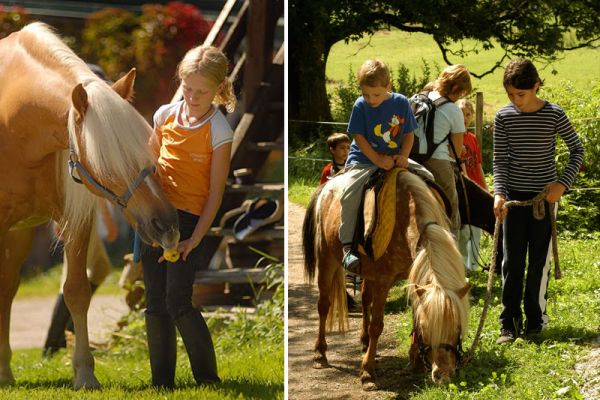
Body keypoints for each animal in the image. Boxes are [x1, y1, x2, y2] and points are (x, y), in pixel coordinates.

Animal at [0, 23, 179, 390]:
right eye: (107, 162)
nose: (166, 224)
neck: (13, 121)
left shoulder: (75, 221)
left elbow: (76, 291)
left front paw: (84, 372)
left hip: (19, 232)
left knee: (7, 290)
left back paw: (5, 370)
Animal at [302, 167, 472, 390]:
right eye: (427, 329)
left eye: (458, 327)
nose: (443, 375)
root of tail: (328, 185)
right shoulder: (383, 280)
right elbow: (377, 325)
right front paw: (368, 373)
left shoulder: (413, 278)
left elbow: (413, 313)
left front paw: (416, 360)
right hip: (326, 259)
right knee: (324, 305)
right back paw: (320, 354)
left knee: (365, 299)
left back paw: (364, 341)